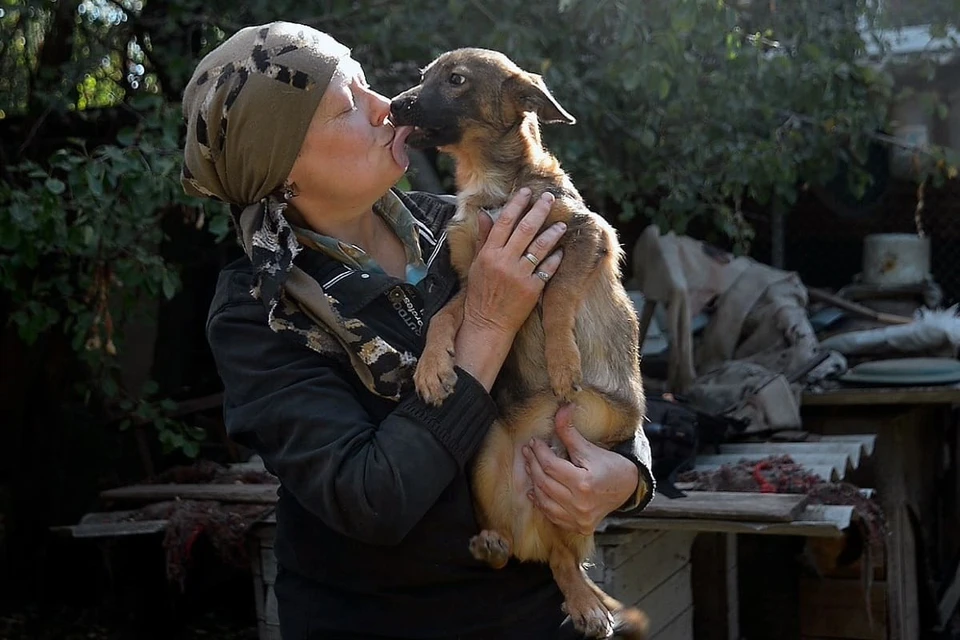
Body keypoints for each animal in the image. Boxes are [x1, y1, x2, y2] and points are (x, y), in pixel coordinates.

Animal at [394, 50, 648, 640]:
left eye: (456, 80)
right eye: (422, 76)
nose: (393, 105)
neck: (491, 185)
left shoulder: (586, 235)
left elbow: (556, 296)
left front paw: (562, 362)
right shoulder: (472, 278)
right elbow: (444, 317)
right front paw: (432, 370)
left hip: (583, 478)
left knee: (567, 559)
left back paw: (585, 603)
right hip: (486, 460)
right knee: (523, 554)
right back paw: (493, 545)